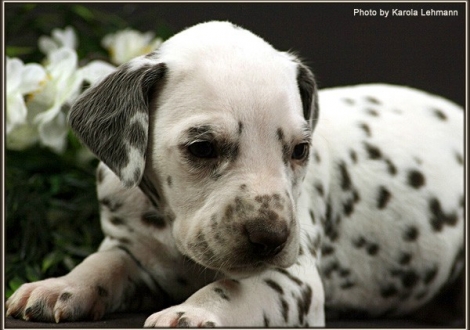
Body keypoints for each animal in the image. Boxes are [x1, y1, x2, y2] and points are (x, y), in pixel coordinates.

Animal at [5, 21, 464, 328]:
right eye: (202, 148)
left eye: (300, 150)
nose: (271, 237)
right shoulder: (131, 248)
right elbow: (100, 263)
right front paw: (59, 285)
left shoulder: (294, 278)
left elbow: (233, 287)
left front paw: (193, 310)